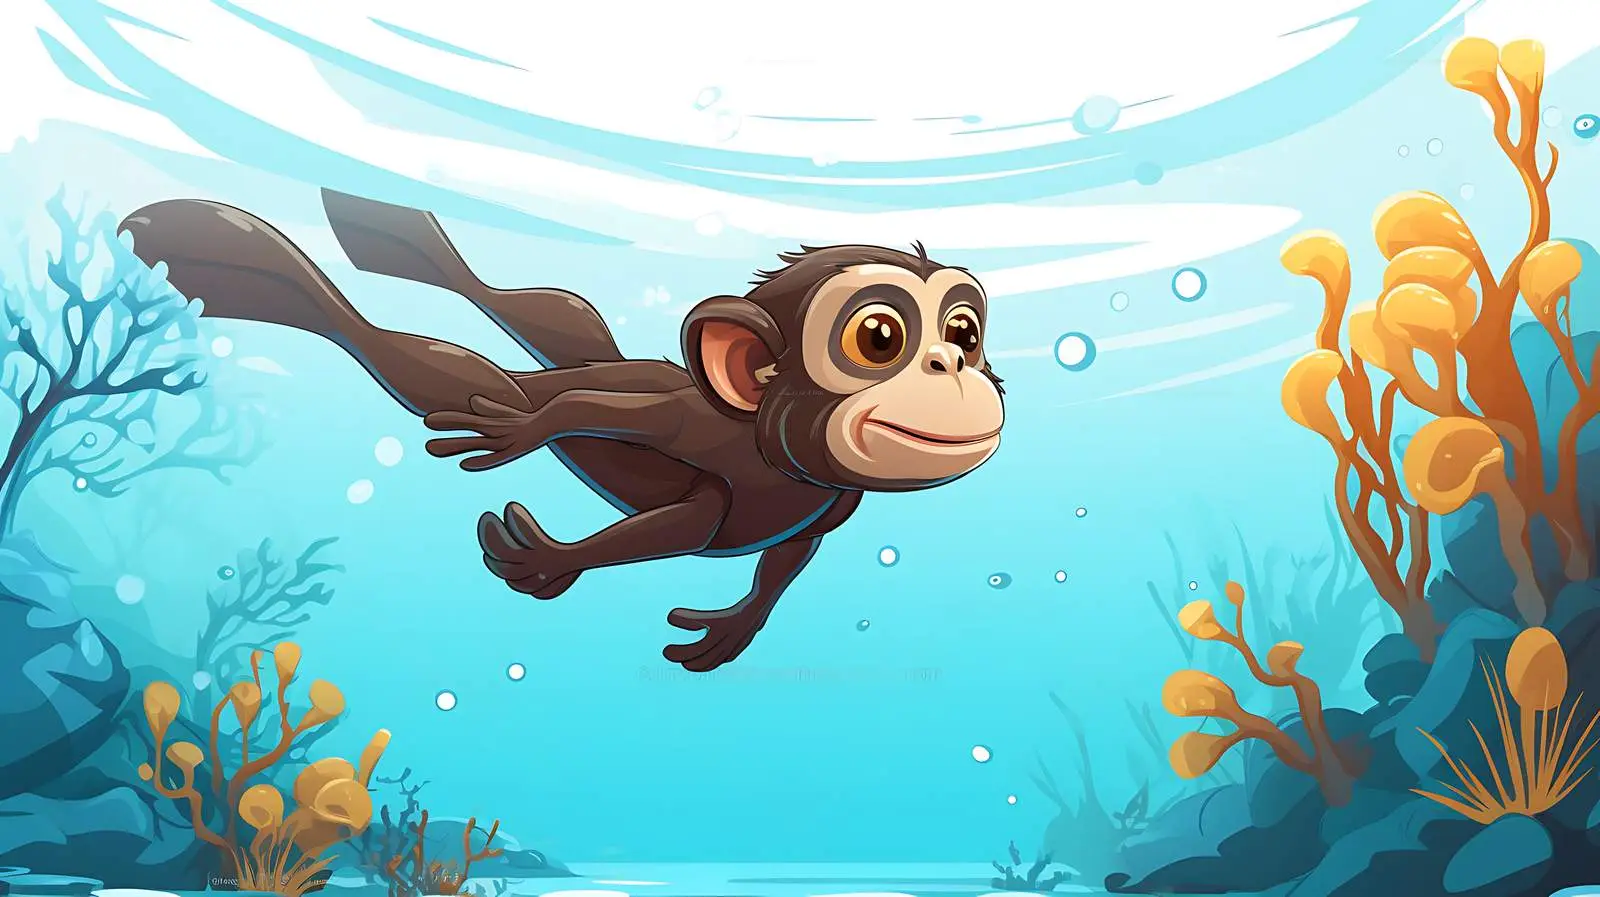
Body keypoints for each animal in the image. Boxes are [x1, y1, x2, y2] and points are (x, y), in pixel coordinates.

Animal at [115, 189, 1006, 672]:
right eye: (880, 337)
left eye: (962, 331)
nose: (949, 365)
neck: (774, 457)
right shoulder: (691, 429)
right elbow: (670, 498)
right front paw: (544, 539)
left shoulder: (834, 502)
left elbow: (784, 557)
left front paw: (728, 630)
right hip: (538, 376)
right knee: (409, 349)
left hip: (582, 343)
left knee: (545, 309)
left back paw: (382, 228)